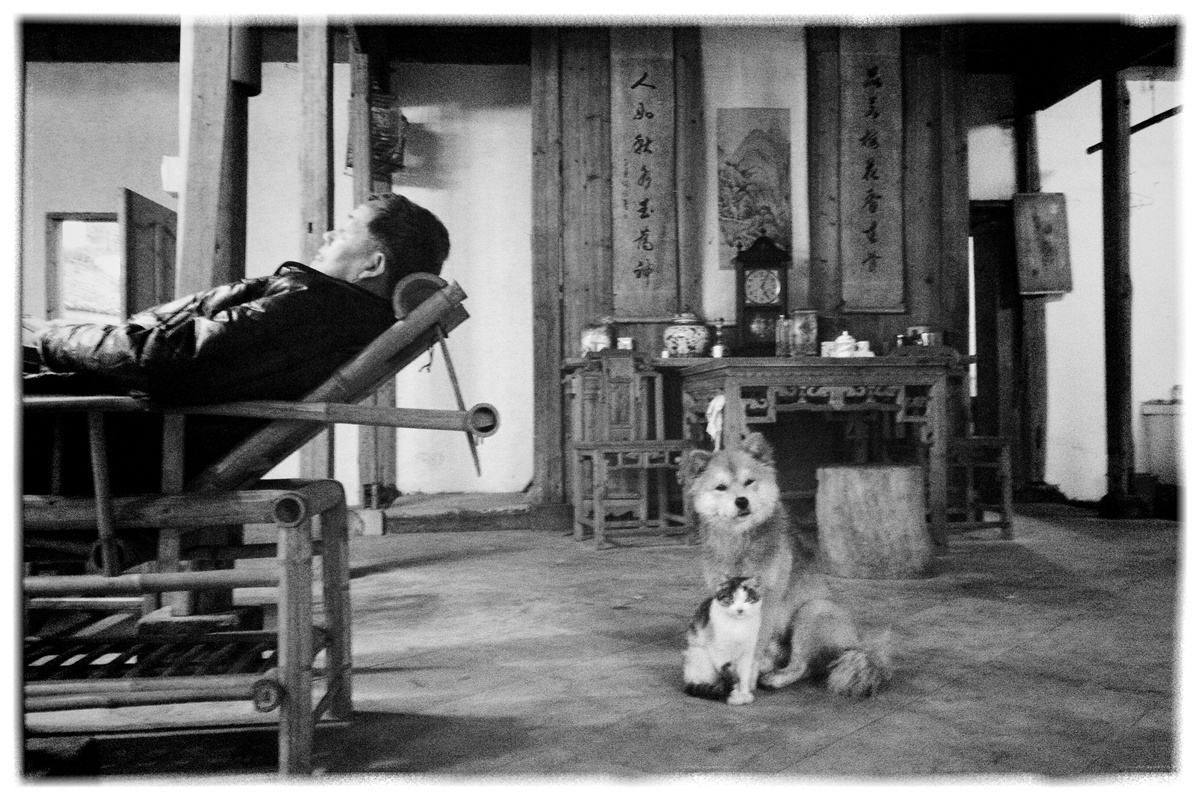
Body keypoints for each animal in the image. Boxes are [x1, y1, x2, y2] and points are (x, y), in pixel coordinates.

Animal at [682, 574, 763, 705]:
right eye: (730, 599)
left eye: (747, 599)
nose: (740, 610)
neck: (738, 625)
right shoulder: (719, 651)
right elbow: (727, 673)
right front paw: (733, 694)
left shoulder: (748, 652)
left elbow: (744, 675)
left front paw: (744, 693)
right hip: (699, 656)